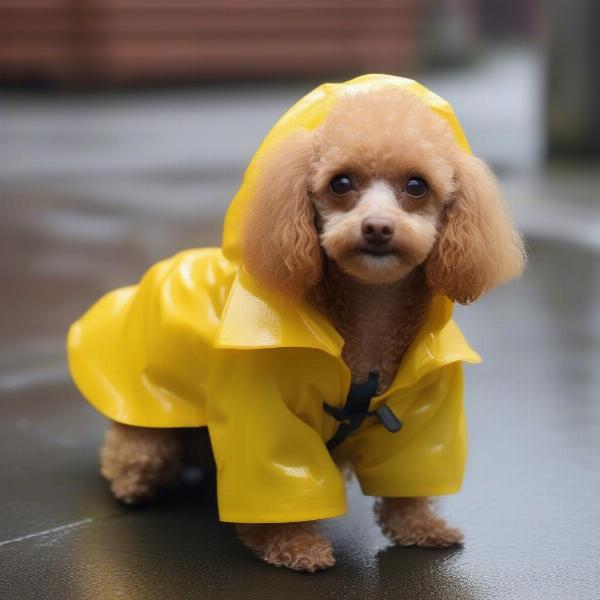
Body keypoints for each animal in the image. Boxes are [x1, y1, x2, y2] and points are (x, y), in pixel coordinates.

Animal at [71, 77, 524, 576]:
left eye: (416, 185)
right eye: (341, 182)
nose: (378, 228)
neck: (367, 321)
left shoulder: (423, 413)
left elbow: (408, 482)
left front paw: (421, 527)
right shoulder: (263, 413)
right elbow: (279, 481)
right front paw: (294, 545)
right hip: (146, 420)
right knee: (133, 450)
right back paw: (132, 482)